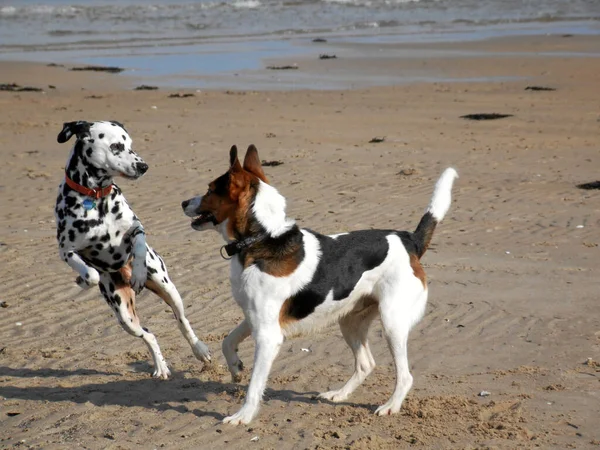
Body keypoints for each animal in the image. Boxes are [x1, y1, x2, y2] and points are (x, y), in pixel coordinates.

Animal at [54, 121, 212, 378]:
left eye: (130, 144)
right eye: (116, 146)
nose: (143, 166)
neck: (97, 199)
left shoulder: (136, 228)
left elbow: (138, 246)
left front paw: (137, 272)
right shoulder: (66, 250)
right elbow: (90, 272)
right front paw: (83, 279)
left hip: (168, 289)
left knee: (182, 321)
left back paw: (199, 350)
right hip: (125, 316)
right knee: (149, 334)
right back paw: (161, 366)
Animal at [180, 146, 458, 424]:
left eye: (210, 189)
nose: (183, 202)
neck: (263, 238)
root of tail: (409, 240)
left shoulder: (268, 335)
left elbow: (254, 385)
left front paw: (243, 416)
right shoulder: (253, 317)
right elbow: (227, 342)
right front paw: (236, 368)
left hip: (392, 323)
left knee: (405, 376)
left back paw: (391, 405)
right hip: (350, 321)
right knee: (365, 364)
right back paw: (338, 394)